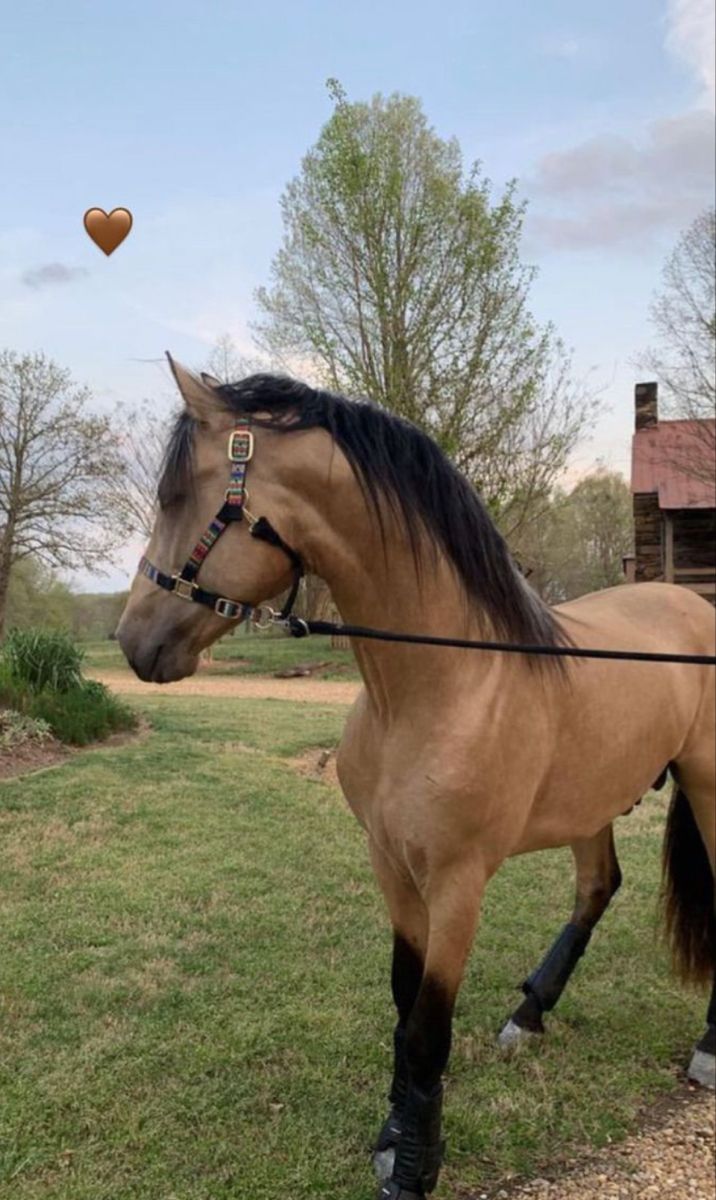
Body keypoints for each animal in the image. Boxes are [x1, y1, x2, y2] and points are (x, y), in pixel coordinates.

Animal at [118, 360, 714, 1200]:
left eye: (178, 497)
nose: (133, 640)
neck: (441, 685)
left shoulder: (458, 884)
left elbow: (429, 1029)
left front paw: (412, 1169)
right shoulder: (392, 867)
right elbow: (404, 1009)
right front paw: (394, 1134)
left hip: (709, 784)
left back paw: (706, 1047)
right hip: (591, 802)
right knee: (597, 887)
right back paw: (529, 1016)